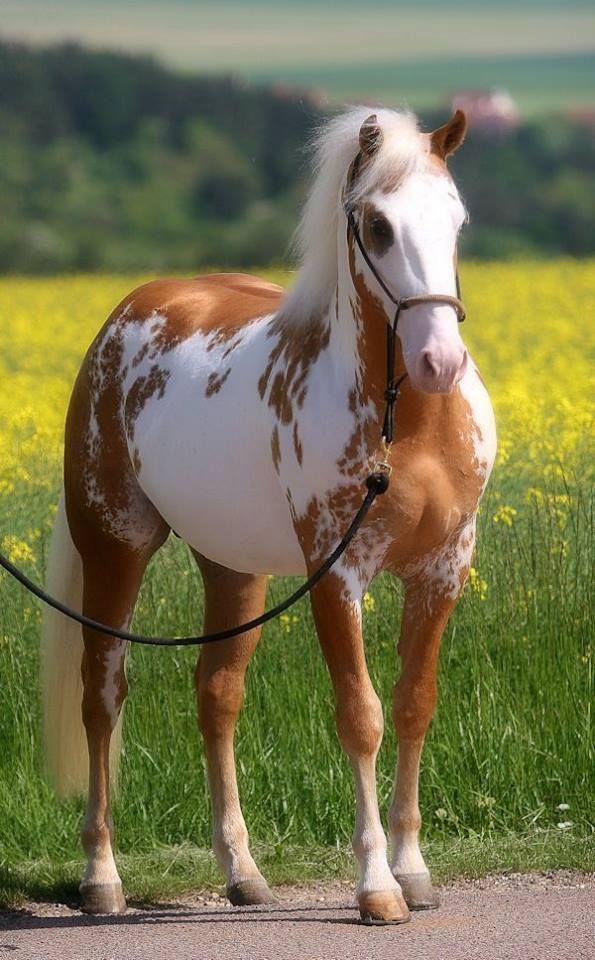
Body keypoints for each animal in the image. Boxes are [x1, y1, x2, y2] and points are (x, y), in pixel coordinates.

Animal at [41, 106, 496, 924]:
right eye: (376, 226)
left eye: (457, 219)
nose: (439, 362)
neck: (408, 426)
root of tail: (126, 314)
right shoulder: (336, 575)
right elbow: (362, 717)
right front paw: (377, 887)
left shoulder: (444, 568)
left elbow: (414, 705)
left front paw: (415, 872)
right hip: (115, 546)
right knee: (102, 696)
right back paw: (101, 877)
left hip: (234, 567)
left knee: (217, 695)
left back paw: (242, 873)